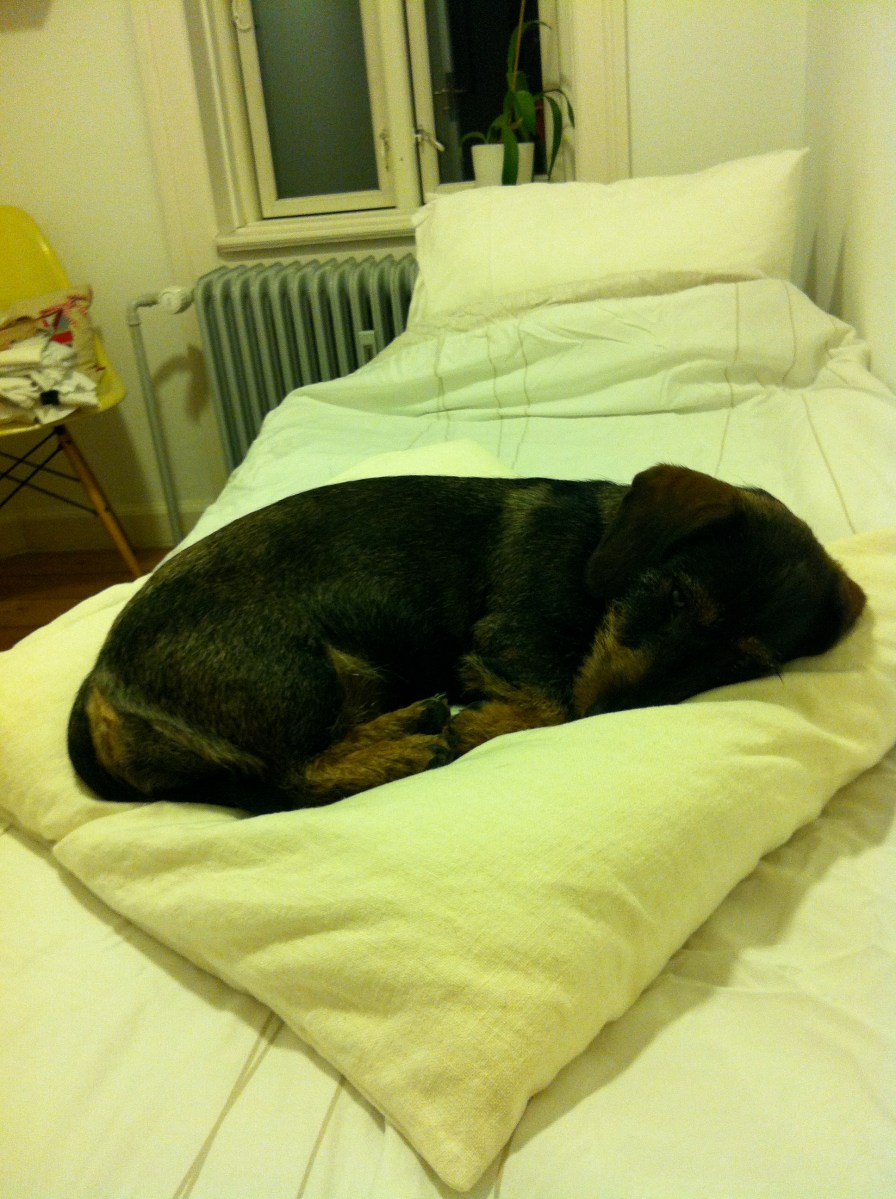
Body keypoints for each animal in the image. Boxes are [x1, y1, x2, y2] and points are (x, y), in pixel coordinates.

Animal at [67, 465, 866, 816]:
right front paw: (477, 722)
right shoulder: (512, 635)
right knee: (289, 778)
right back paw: (412, 746)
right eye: (672, 596)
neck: (598, 547)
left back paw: (410, 724)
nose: (617, 717)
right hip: (296, 672)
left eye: (739, 662)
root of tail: (102, 687)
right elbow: (553, 704)